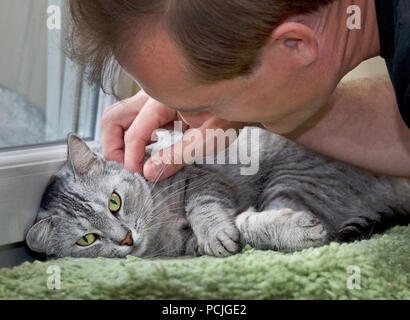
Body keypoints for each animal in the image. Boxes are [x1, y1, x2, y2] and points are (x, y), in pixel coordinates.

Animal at [25, 126, 410, 258]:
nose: (125, 239)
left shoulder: (202, 174)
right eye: (87, 239)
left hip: (294, 177)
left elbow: (204, 205)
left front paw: (216, 233)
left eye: (114, 202)